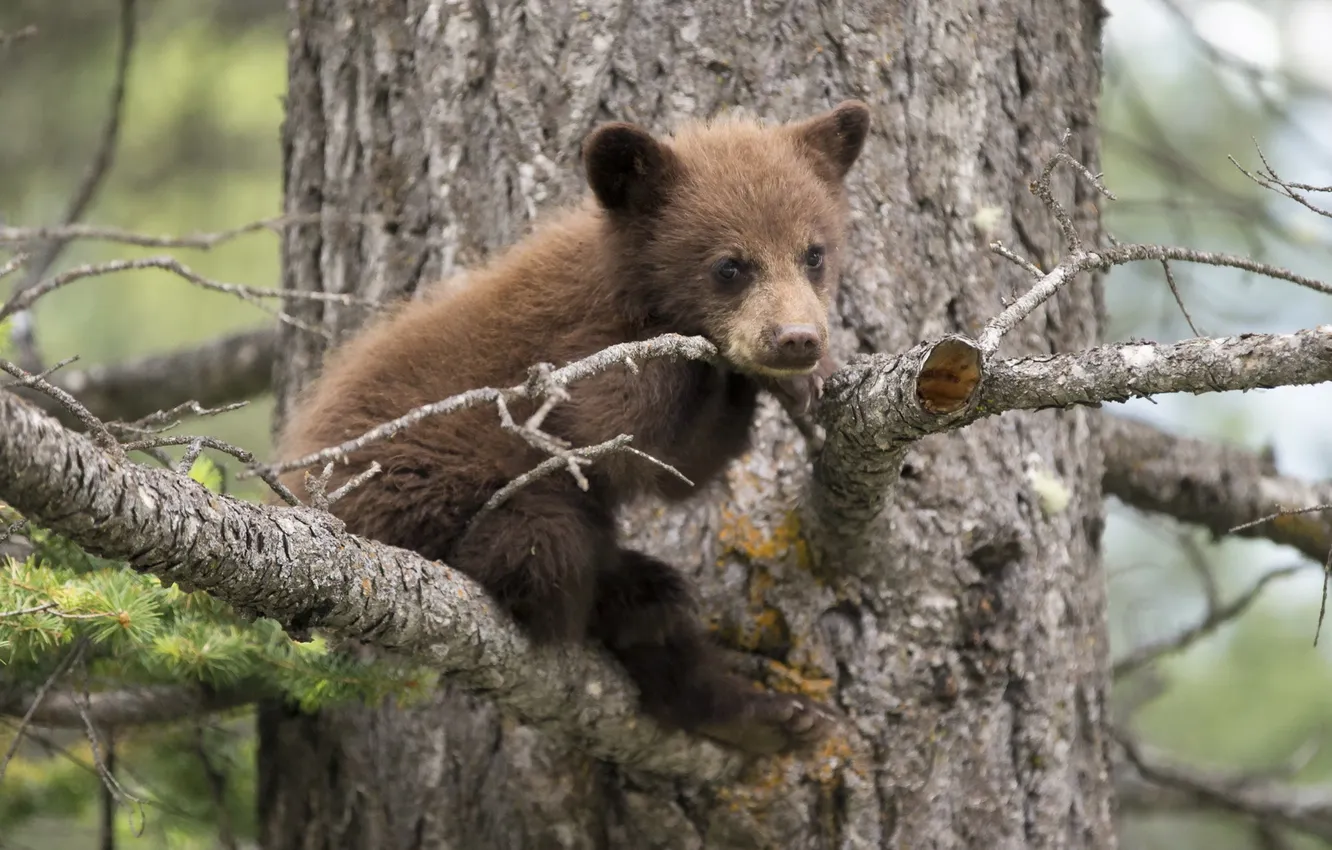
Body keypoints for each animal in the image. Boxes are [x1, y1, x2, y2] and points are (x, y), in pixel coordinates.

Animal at [274, 100, 871, 755]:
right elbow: (610, 437)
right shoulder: (575, 350)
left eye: (813, 253)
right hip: (412, 491)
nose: (797, 339)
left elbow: (683, 470)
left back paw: (760, 710)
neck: (632, 288)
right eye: (730, 266)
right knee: (545, 541)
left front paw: (804, 380)